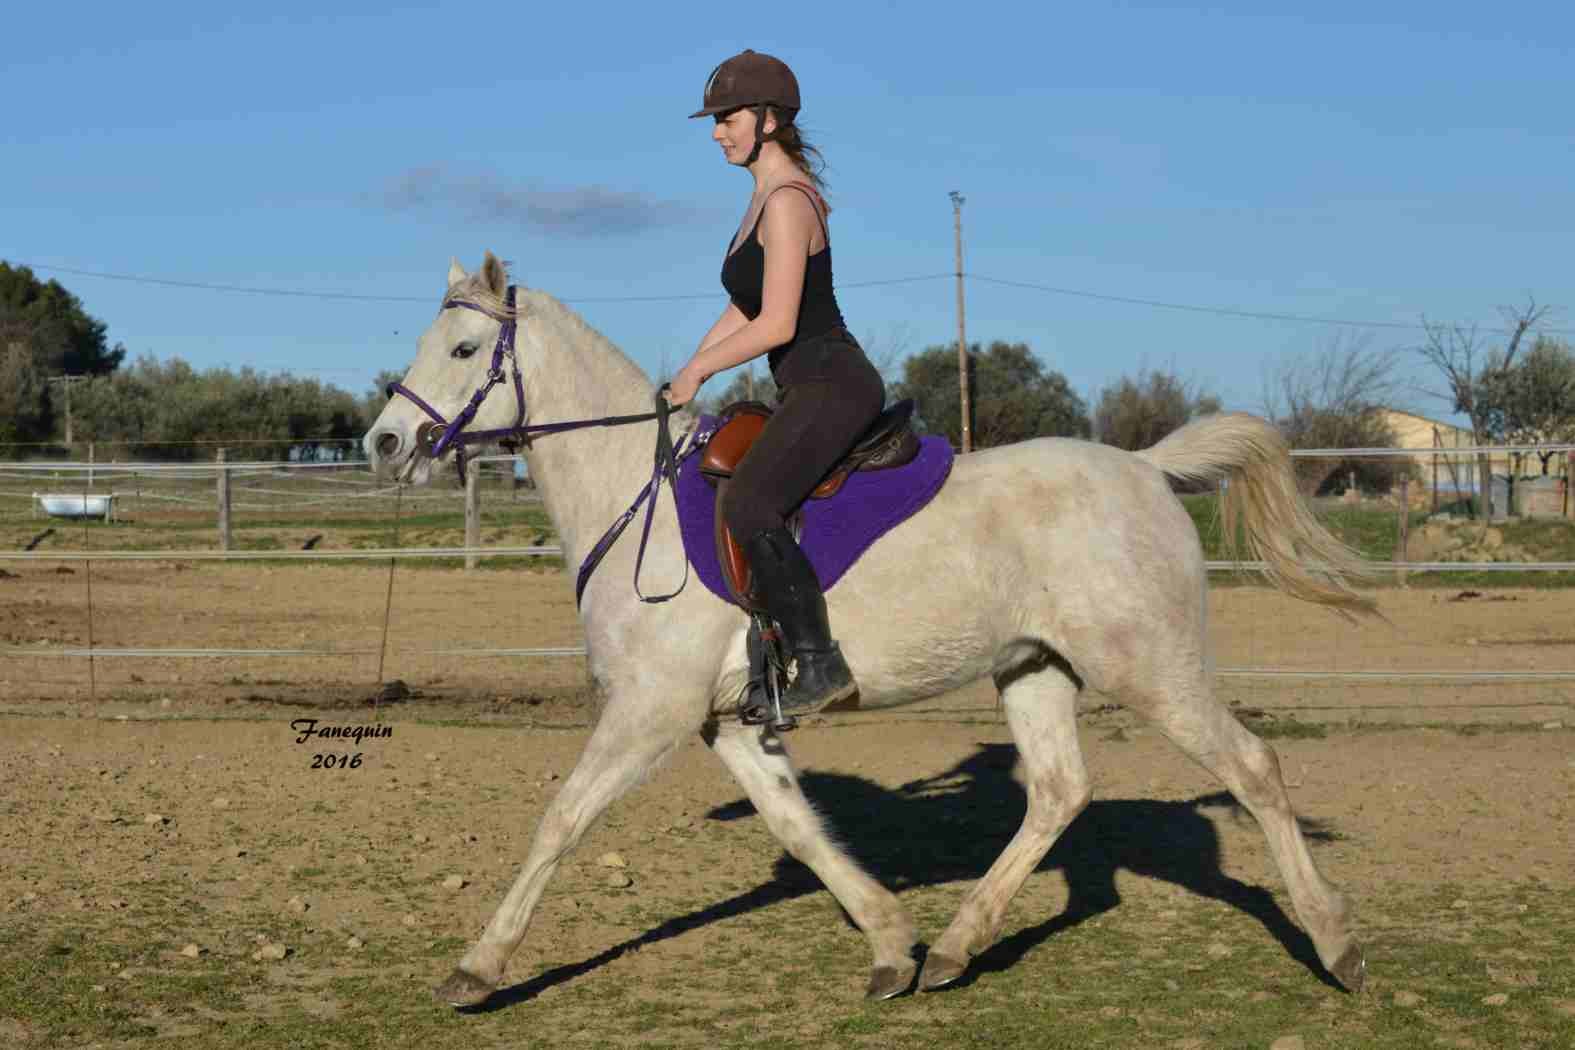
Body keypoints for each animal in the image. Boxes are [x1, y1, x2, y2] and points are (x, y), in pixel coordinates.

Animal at [362, 255, 1373, 1007]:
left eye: (462, 347)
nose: (383, 444)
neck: (630, 491)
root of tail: (1146, 468)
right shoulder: (726, 722)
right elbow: (803, 830)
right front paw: (890, 944)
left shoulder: (650, 711)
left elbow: (561, 820)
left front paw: (478, 967)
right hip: (1033, 668)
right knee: (1057, 793)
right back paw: (956, 948)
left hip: (1150, 668)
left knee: (1252, 768)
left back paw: (1335, 944)